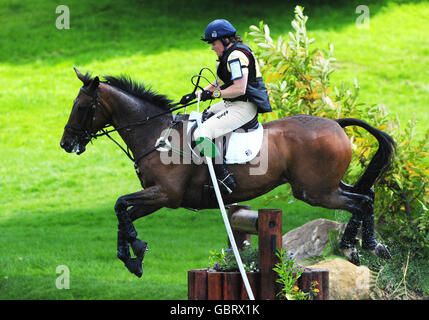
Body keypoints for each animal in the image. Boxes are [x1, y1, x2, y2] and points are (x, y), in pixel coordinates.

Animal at [60, 68, 394, 278]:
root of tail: (336, 122)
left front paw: (136, 249)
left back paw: (362, 247)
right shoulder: (156, 198)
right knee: (366, 194)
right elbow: (123, 213)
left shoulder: (165, 194)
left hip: (315, 191)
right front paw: (132, 257)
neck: (155, 133)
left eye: (81, 107)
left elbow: (120, 205)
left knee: (361, 201)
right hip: (326, 185)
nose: (65, 144)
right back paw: (362, 246)